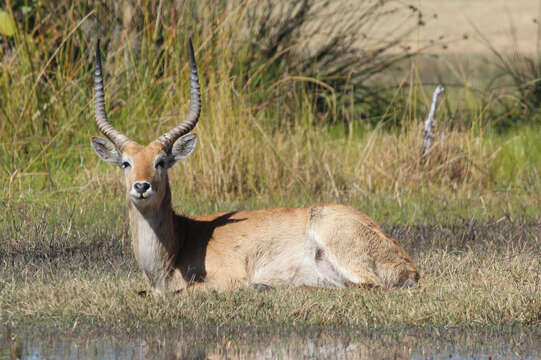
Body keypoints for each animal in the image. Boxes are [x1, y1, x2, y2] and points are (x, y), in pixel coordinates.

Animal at [90, 39, 420, 294]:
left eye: (161, 162)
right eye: (126, 163)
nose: (141, 186)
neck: (178, 246)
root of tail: (408, 265)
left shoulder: (224, 279)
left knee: (364, 285)